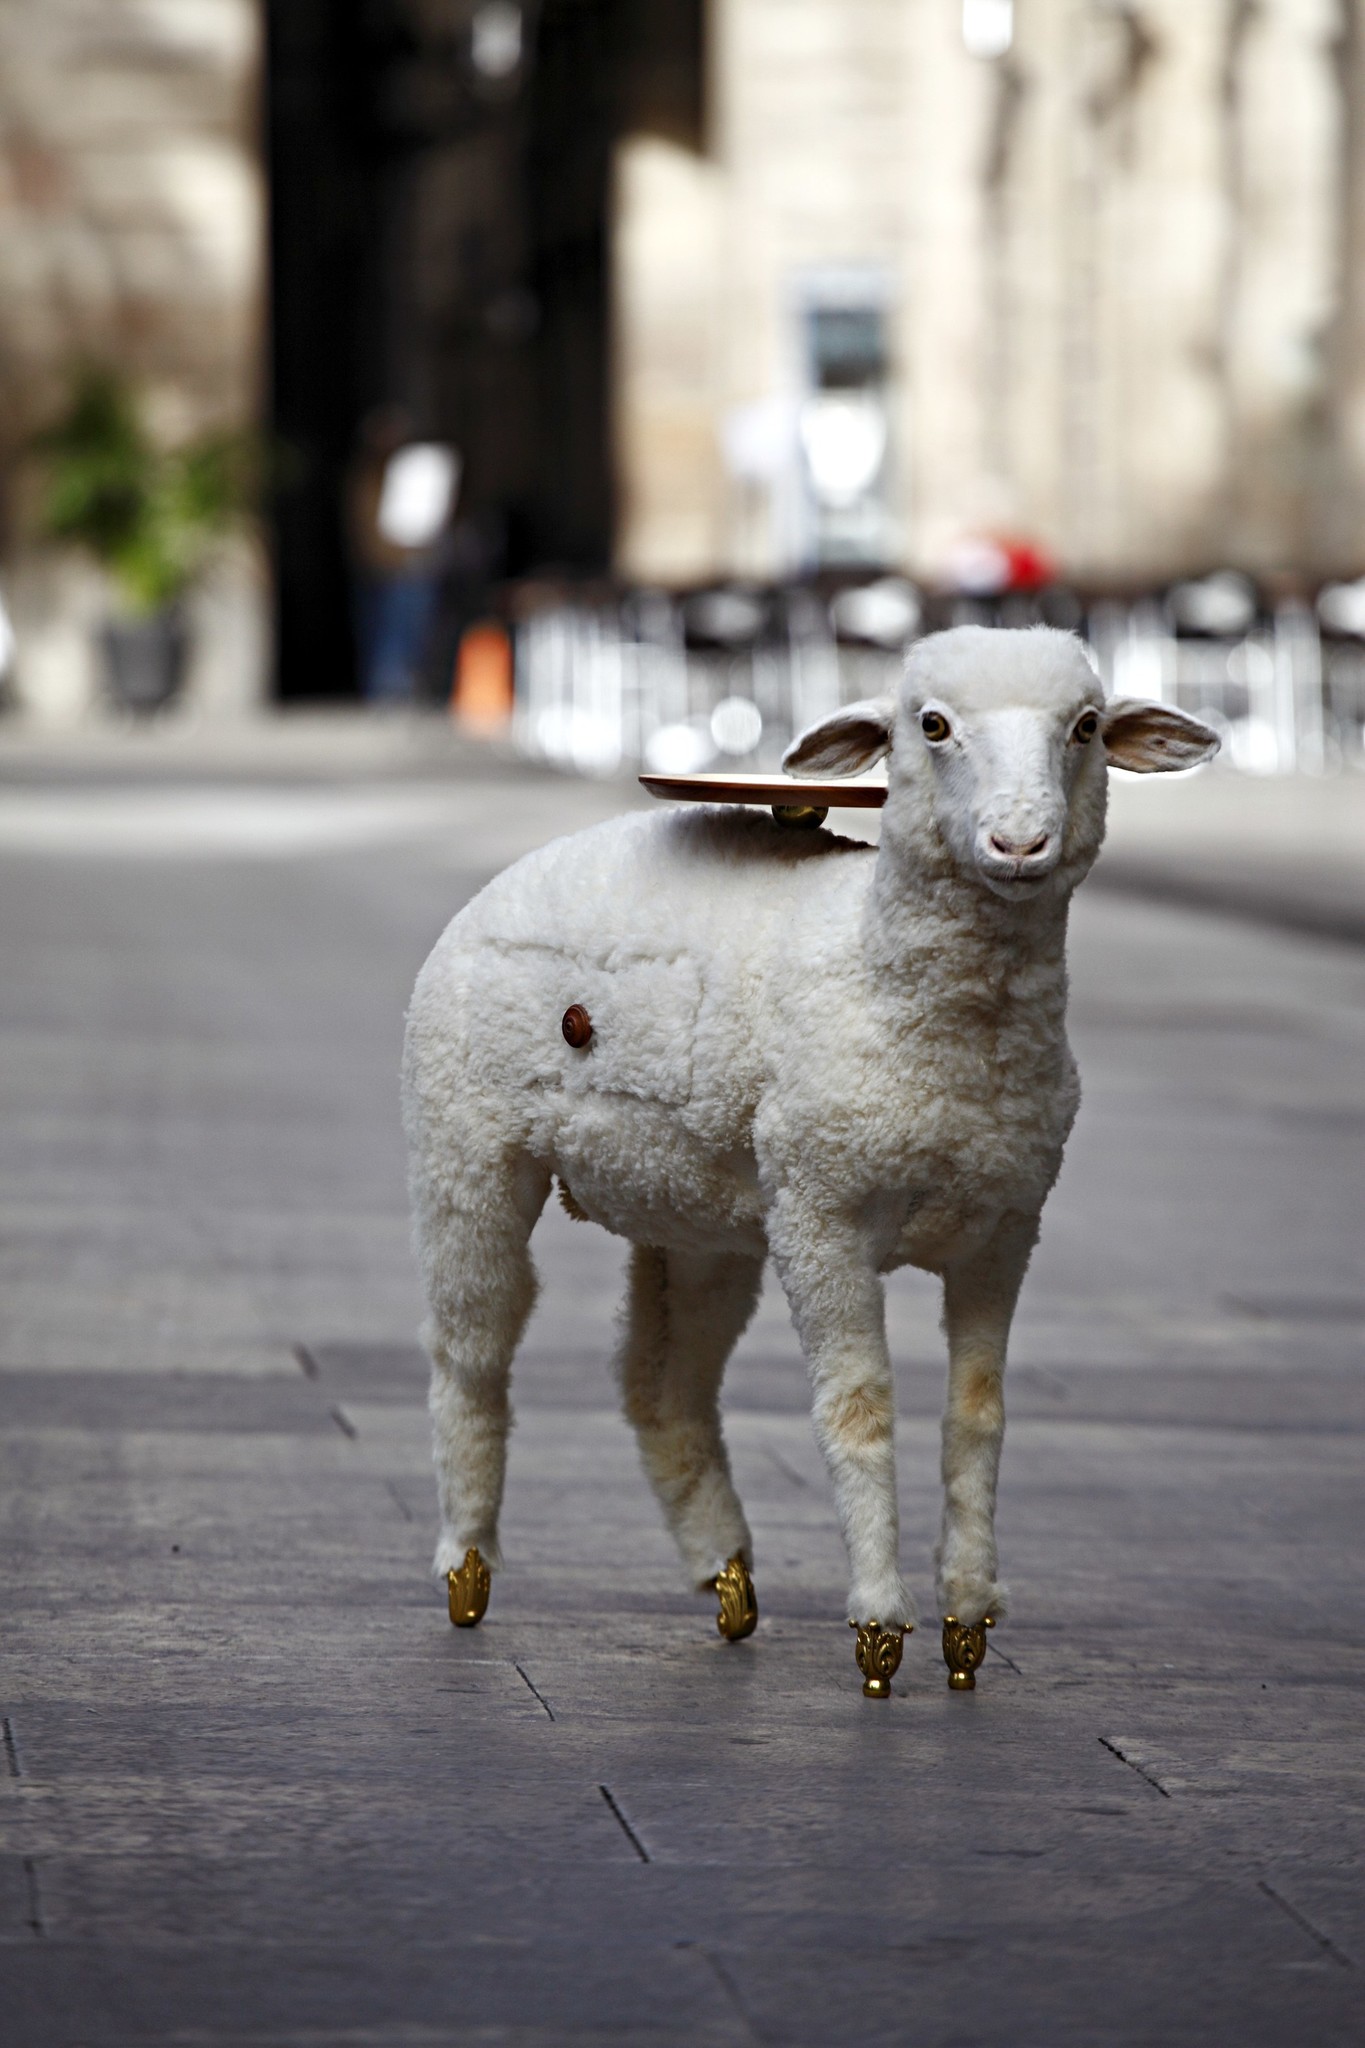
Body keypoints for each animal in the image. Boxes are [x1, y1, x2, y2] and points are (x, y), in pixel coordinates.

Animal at [403, 626, 1219, 1695]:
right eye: (931, 725)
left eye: (1084, 727)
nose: (1018, 846)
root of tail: (538, 864)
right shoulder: (821, 1216)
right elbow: (859, 1409)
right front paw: (879, 1627)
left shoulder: (1005, 1227)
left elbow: (978, 1414)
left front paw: (967, 1621)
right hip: (464, 1143)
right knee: (472, 1347)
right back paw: (466, 1565)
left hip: (698, 1208)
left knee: (659, 1380)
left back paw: (725, 1575)